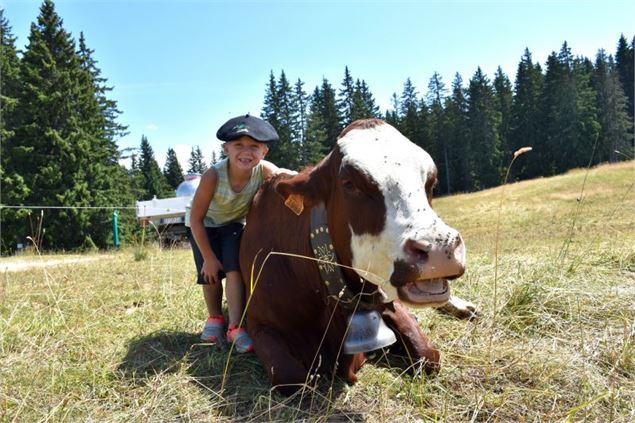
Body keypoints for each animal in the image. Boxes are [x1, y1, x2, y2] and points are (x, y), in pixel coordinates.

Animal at [241, 117, 474, 396]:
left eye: (432, 182)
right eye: (350, 184)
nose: (440, 247)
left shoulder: (387, 301)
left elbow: (429, 356)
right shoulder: (259, 324)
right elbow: (293, 378)